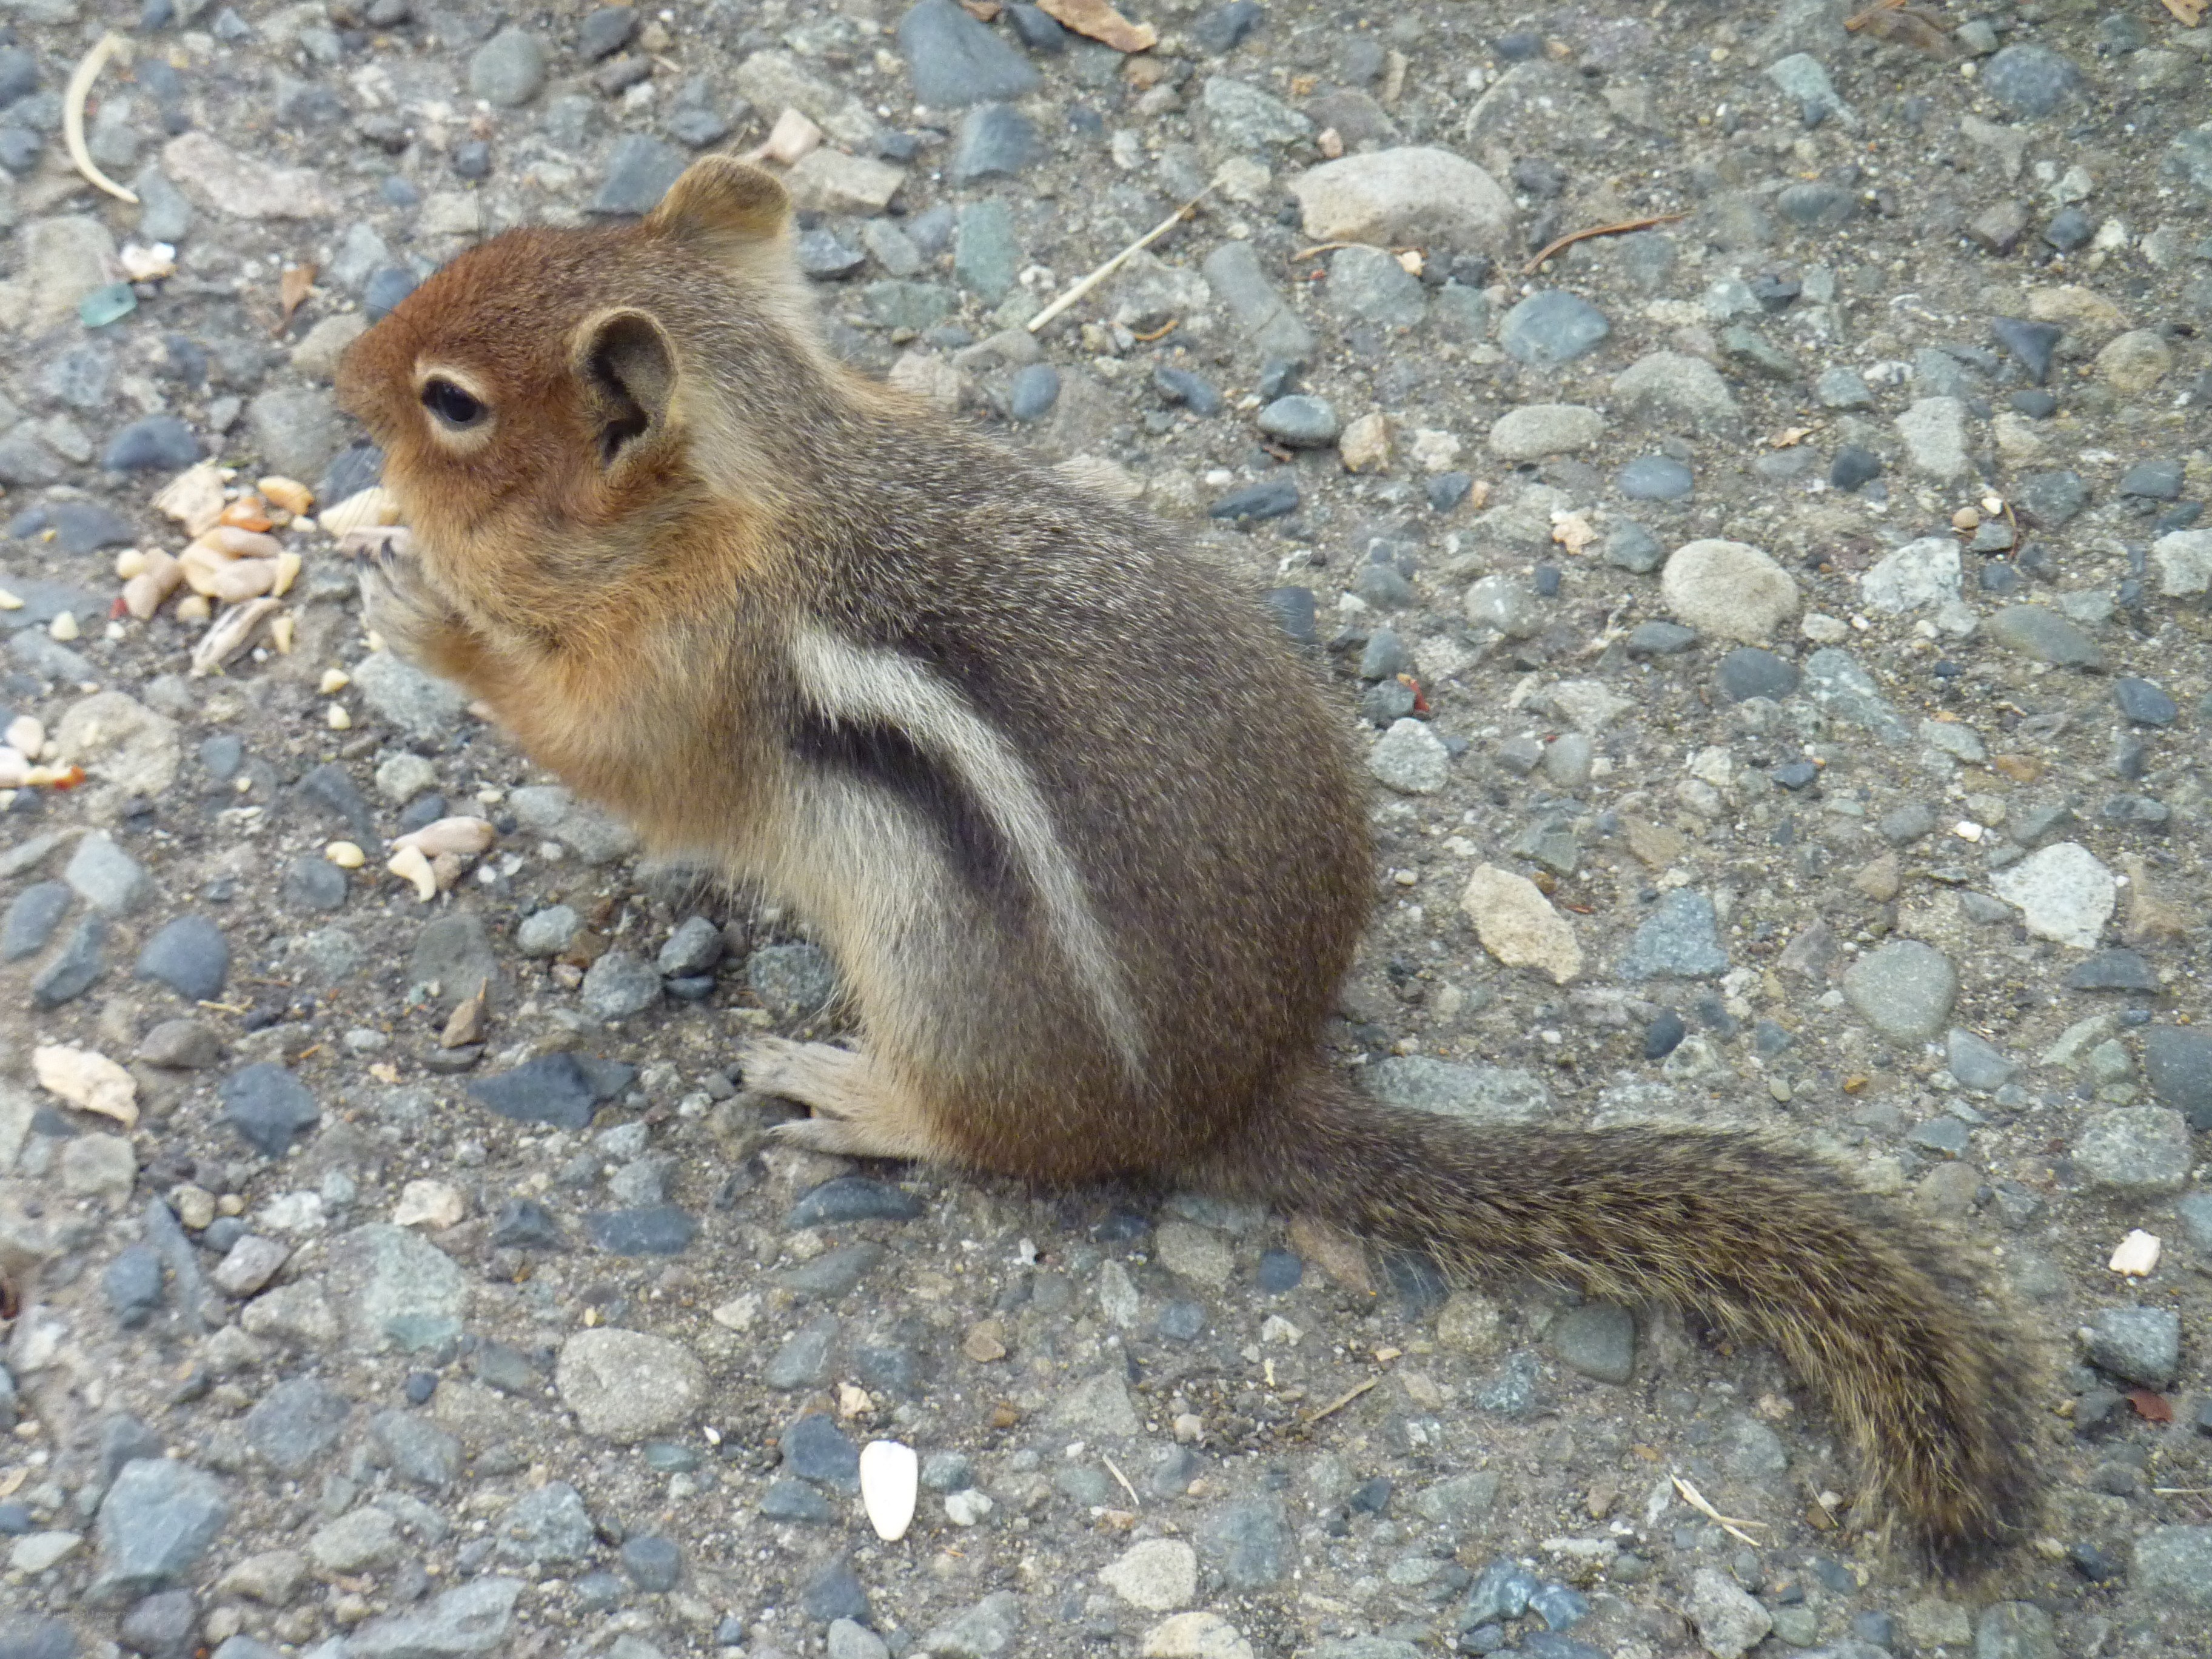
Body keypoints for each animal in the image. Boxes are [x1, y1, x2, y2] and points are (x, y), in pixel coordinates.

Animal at [336, 155, 2036, 1572]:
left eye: (453, 404)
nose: (334, 374)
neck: (767, 469)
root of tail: (1244, 1091)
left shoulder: (682, 674)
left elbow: (596, 749)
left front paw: (418, 611)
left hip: (940, 975)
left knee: (998, 1142)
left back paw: (846, 1089)